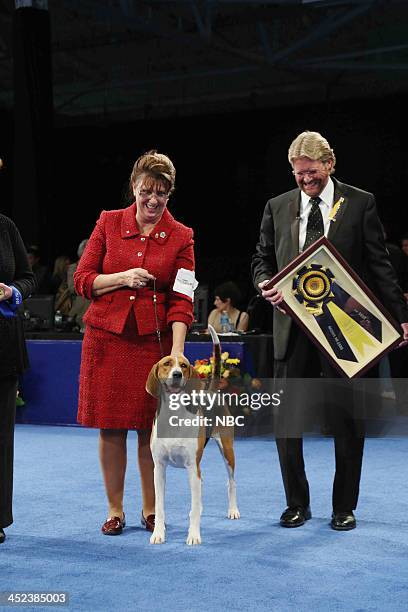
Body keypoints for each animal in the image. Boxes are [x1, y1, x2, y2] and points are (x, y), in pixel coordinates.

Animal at [146, 326, 239, 544]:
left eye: (184, 365)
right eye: (166, 364)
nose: (177, 374)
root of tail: (210, 392)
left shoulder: (191, 466)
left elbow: (194, 509)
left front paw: (194, 536)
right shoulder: (158, 468)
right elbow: (160, 507)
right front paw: (158, 533)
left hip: (227, 450)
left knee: (231, 482)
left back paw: (233, 510)